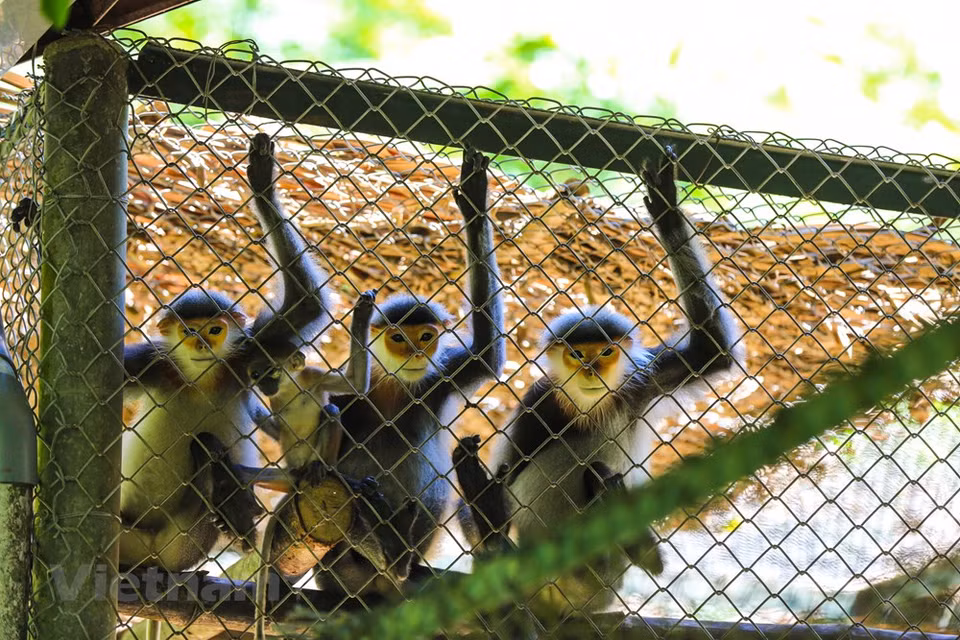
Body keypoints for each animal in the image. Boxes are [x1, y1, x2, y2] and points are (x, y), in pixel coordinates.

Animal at [118, 133, 331, 572]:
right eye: (189, 332)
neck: (199, 379)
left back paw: (230, 510)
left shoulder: (246, 354)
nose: (201, 344)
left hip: (182, 545)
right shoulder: (148, 365)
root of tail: (147, 556)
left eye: (215, 331)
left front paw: (262, 181)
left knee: (204, 452)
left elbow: (307, 304)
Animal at [310, 147, 505, 597]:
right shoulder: (346, 393)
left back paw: (401, 556)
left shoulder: (438, 379)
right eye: (400, 338)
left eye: (427, 336)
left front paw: (474, 207)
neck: (396, 387)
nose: (416, 350)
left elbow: (487, 353)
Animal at [454, 148, 745, 621]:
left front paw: (667, 210)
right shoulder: (538, 402)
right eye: (577, 353)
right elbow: (505, 474)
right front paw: (477, 212)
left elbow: (713, 350)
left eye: (604, 352)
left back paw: (639, 546)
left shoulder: (641, 382)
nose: (590, 369)